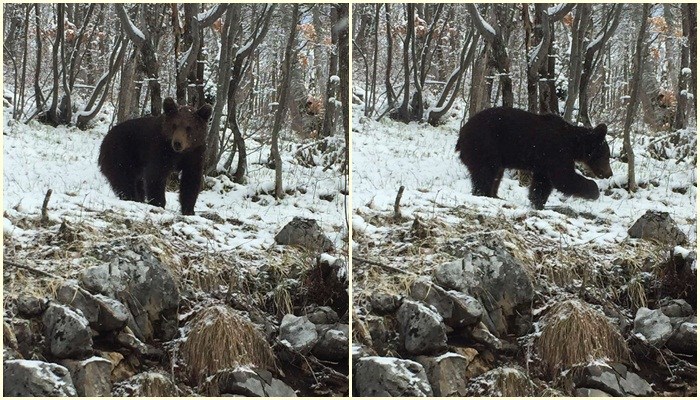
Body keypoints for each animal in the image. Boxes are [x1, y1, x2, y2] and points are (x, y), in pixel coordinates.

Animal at [454, 108, 612, 211]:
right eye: (606, 156)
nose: (609, 173)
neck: (573, 144)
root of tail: (462, 133)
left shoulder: (544, 162)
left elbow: (543, 182)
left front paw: (537, 202)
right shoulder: (557, 152)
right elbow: (564, 177)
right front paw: (595, 191)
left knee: (495, 173)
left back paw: (495, 195)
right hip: (485, 144)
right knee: (485, 171)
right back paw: (485, 193)